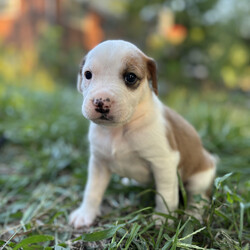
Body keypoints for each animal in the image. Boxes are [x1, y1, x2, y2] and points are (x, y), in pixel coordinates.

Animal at [69, 39, 216, 229]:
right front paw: (86, 213)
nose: (101, 102)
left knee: (199, 197)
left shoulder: (164, 164)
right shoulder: (99, 163)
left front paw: (162, 218)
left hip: (200, 177)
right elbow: (92, 190)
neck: (119, 129)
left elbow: (166, 195)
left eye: (130, 77)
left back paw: (193, 215)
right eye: (88, 75)